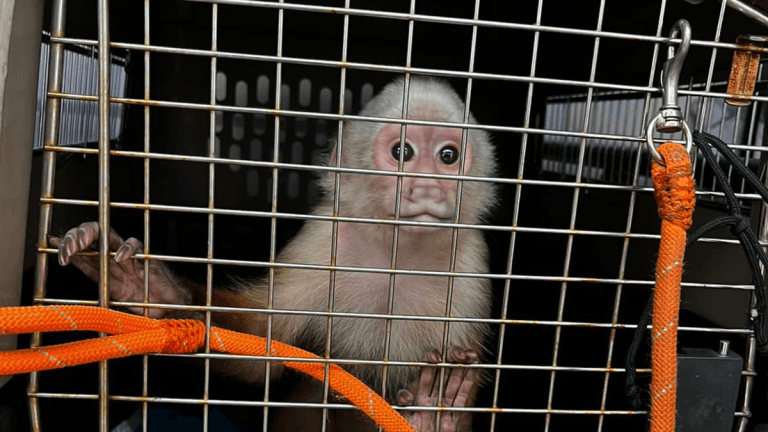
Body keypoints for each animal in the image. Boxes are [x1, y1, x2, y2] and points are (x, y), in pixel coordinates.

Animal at [51, 76, 497, 432]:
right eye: (402, 152)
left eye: (448, 156)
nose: (428, 188)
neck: (397, 254)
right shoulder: (323, 239)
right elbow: (262, 343)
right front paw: (155, 292)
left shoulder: (470, 268)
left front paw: (436, 417)